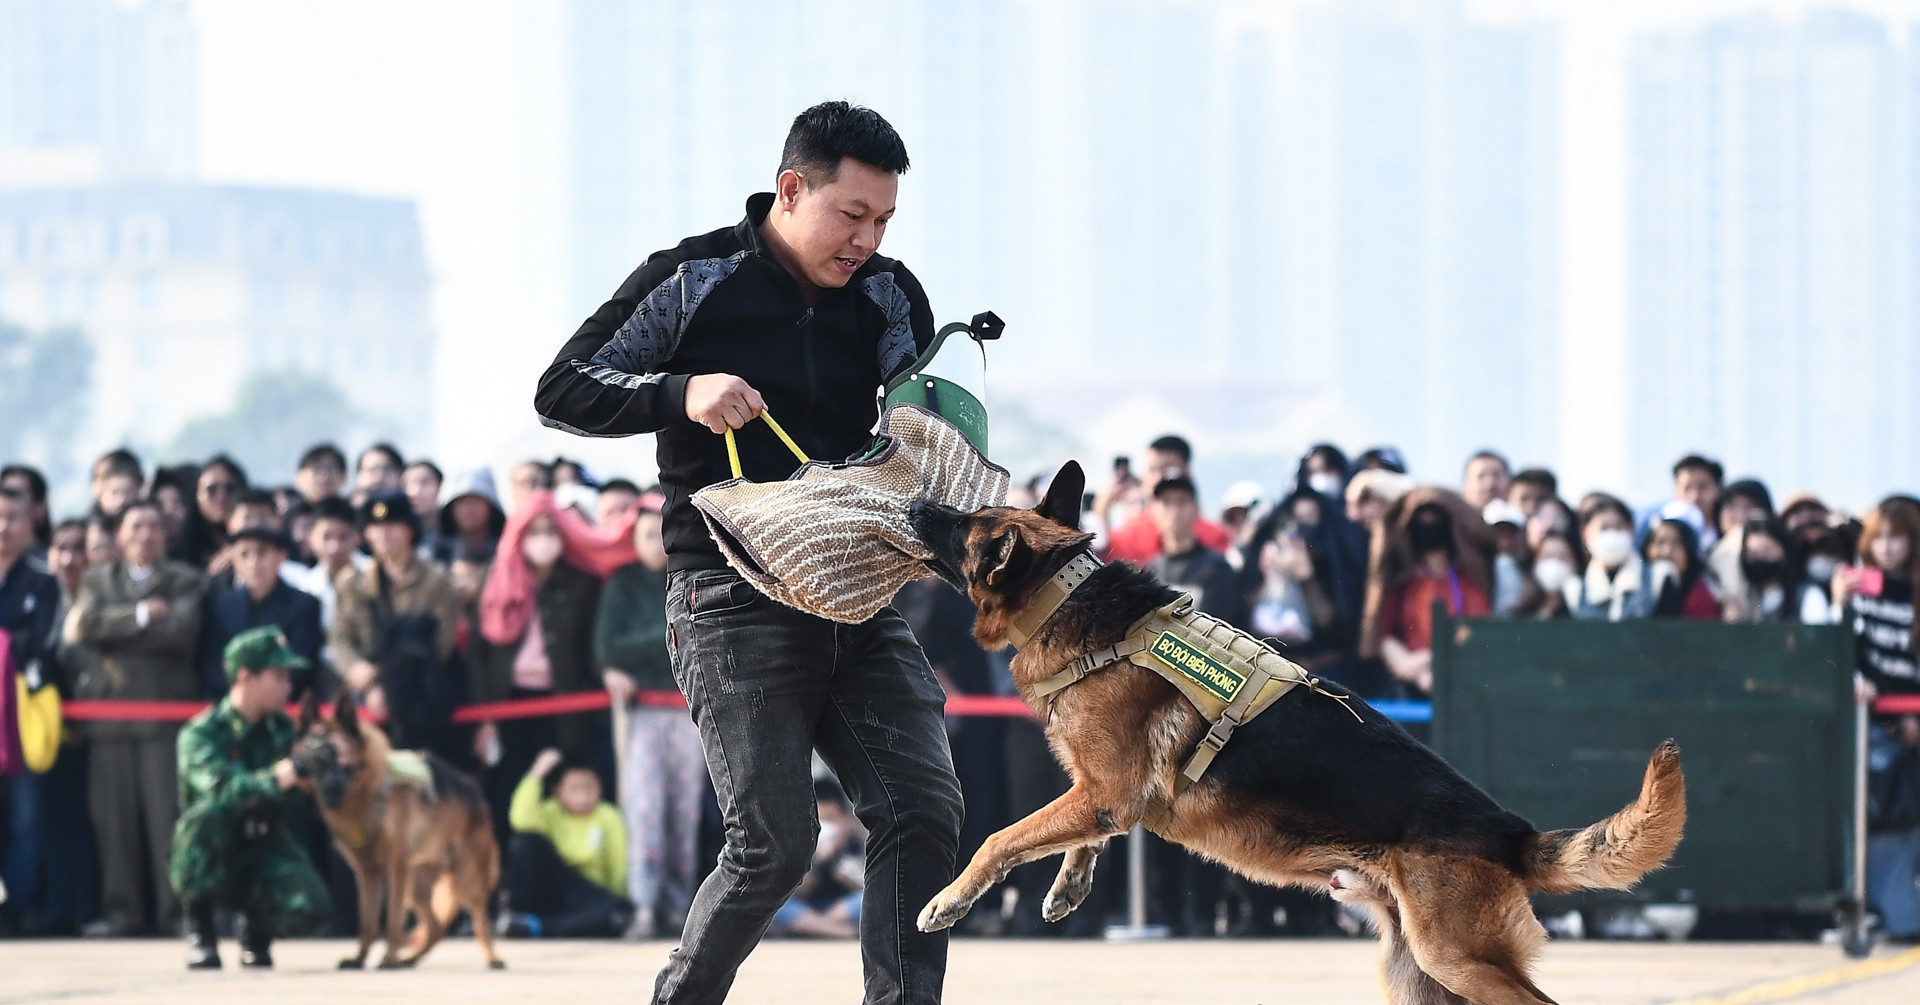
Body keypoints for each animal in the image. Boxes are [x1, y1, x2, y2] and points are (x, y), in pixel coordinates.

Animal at [289, 695, 503, 972]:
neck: (366, 792)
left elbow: (392, 921)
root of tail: (474, 789)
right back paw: (409, 959)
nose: (331, 789)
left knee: (480, 921)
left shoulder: (396, 868)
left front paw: (388, 958)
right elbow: (368, 921)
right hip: (416, 886)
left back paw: (492, 957)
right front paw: (359, 959)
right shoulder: (367, 872)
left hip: (466, 878)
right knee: (435, 928)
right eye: (313, 761)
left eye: (340, 758)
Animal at [906, 465, 1689, 1005]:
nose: (914, 503)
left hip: (1455, 958)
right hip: (1421, 974)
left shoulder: (1101, 791)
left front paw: (948, 899)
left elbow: (1000, 837)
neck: (1068, 599)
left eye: (966, 526)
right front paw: (1069, 885)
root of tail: (1509, 831)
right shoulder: (1102, 797)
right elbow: (1075, 839)